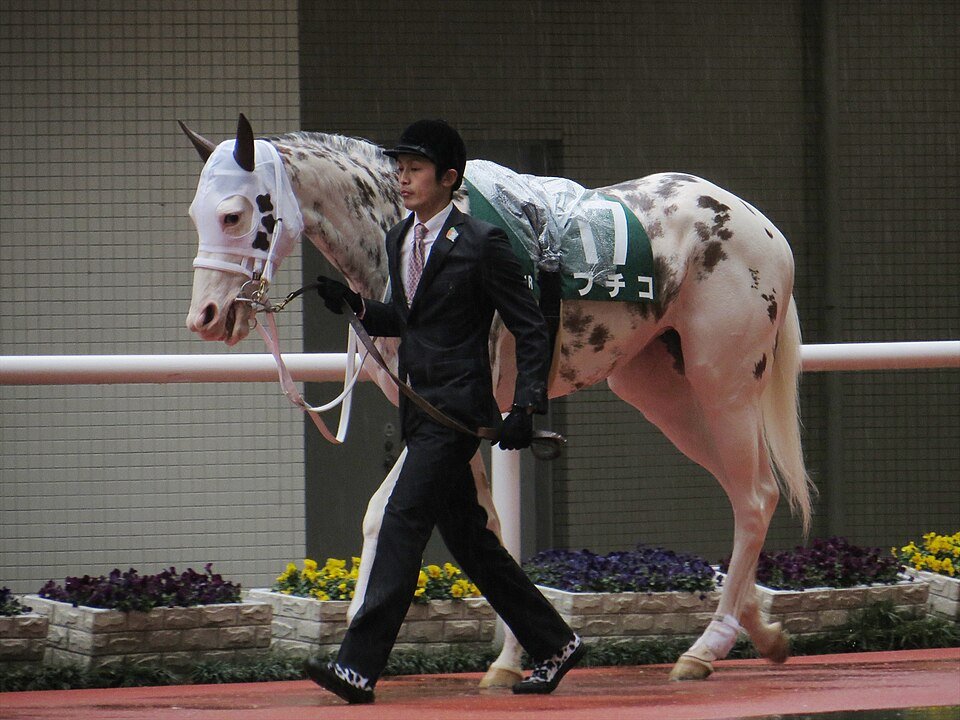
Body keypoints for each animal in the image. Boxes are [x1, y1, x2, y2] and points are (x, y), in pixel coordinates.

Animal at [181, 115, 812, 685]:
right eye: (194, 215)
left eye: (233, 215)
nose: (205, 318)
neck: (401, 229)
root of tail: (763, 226)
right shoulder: (455, 419)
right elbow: (489, 526)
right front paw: (513, 660)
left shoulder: (450, 415)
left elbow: (385, 514)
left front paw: (353, 660)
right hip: (660, 389)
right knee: (744, 492)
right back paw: (760, 629)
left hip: (725, 381)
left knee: (755, 495)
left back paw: (708, 646)